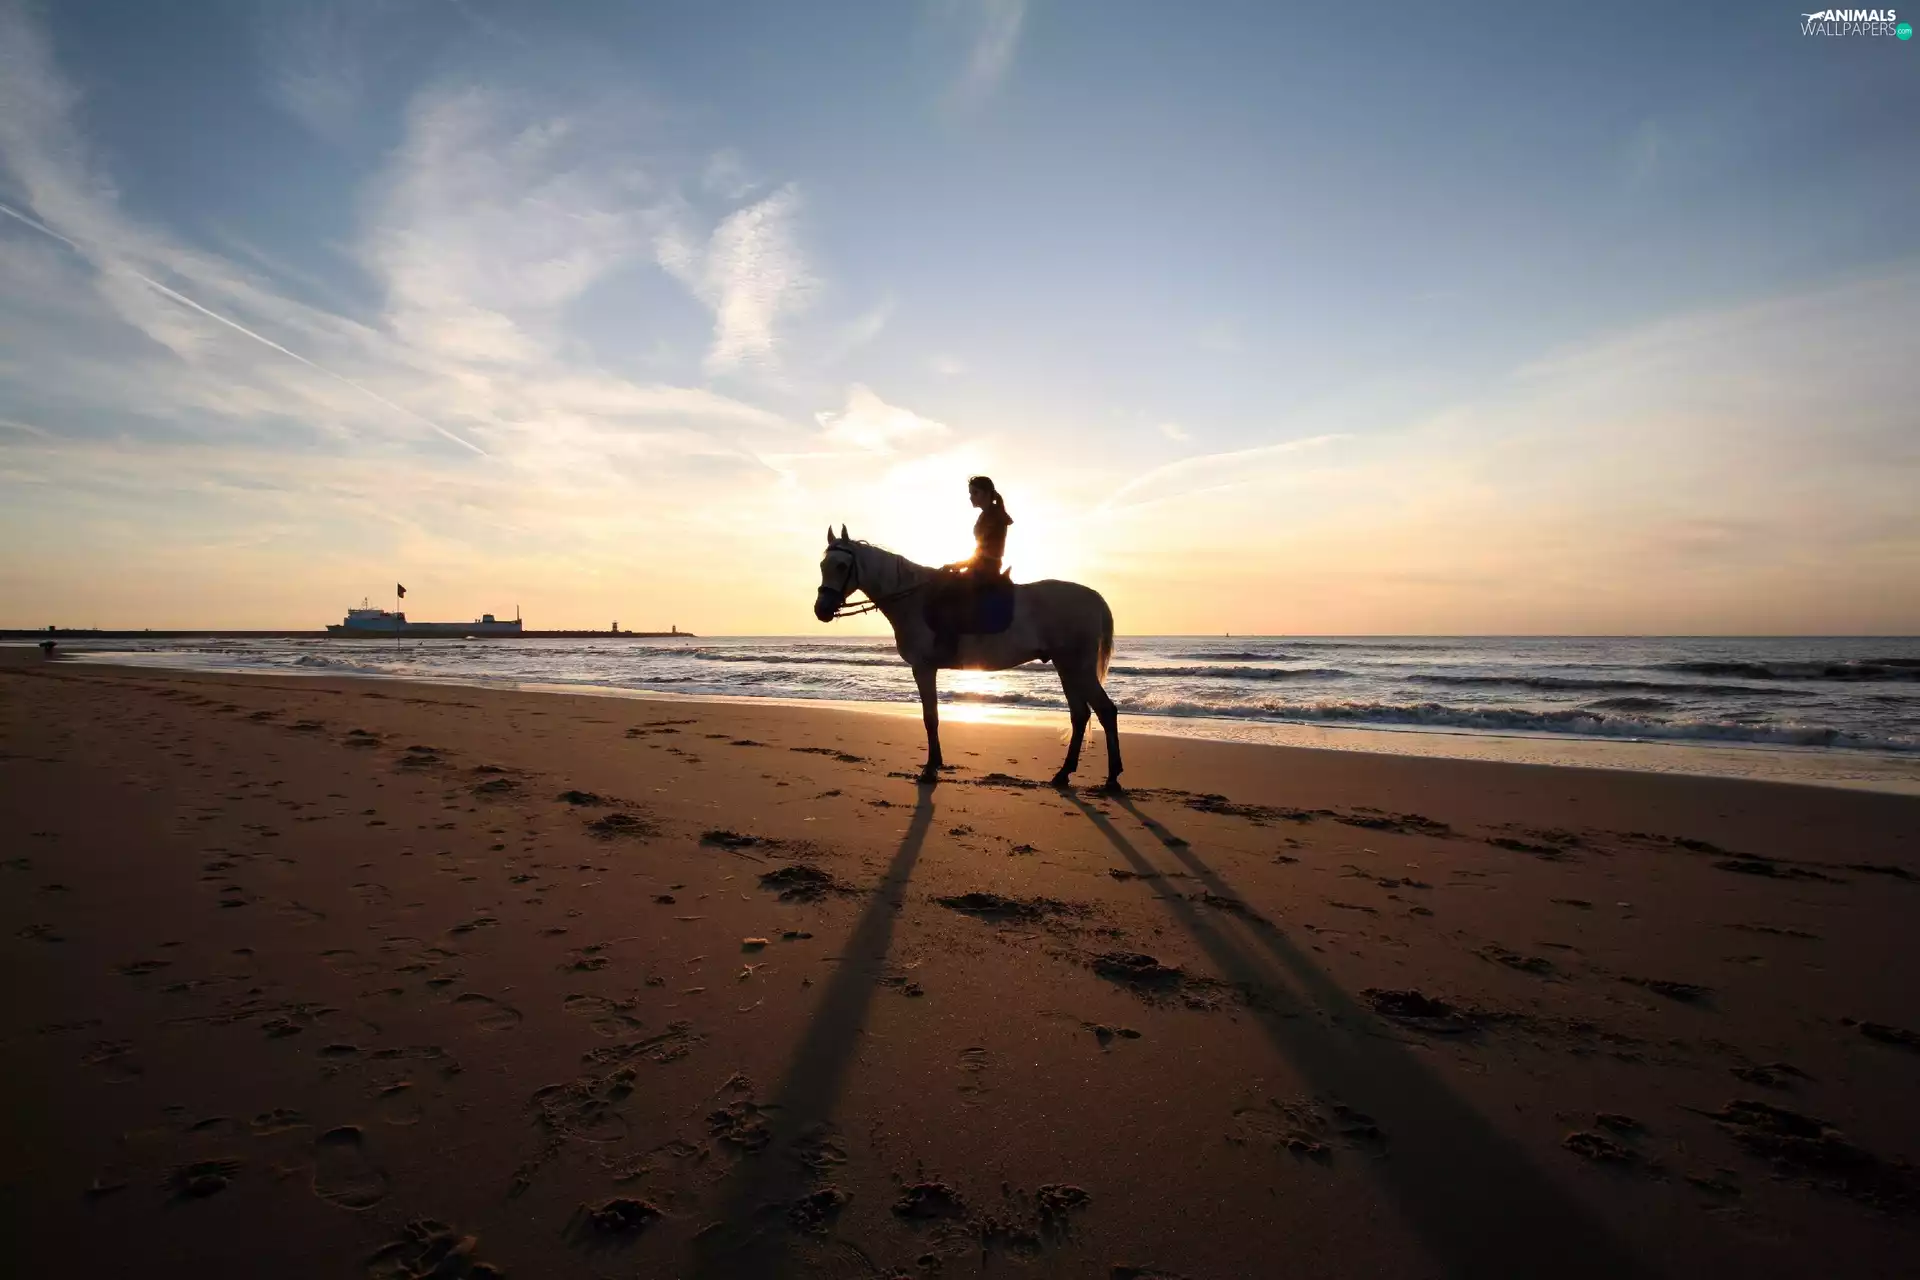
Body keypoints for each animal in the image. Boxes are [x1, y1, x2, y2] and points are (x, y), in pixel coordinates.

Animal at [813, 525, 1123, 790]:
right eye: (822, 566)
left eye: (841, 566)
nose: (822, 610)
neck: (913, 599)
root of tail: (1094, 598)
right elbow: (932, 716)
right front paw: (935, 763)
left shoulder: (923, 668)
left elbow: (930, 717)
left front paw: (930, 769)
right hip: (1066, 667)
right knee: (1080, 715)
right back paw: (1064, 774)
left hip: (1077, 666)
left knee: (1105, 711)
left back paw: (1112, 779)